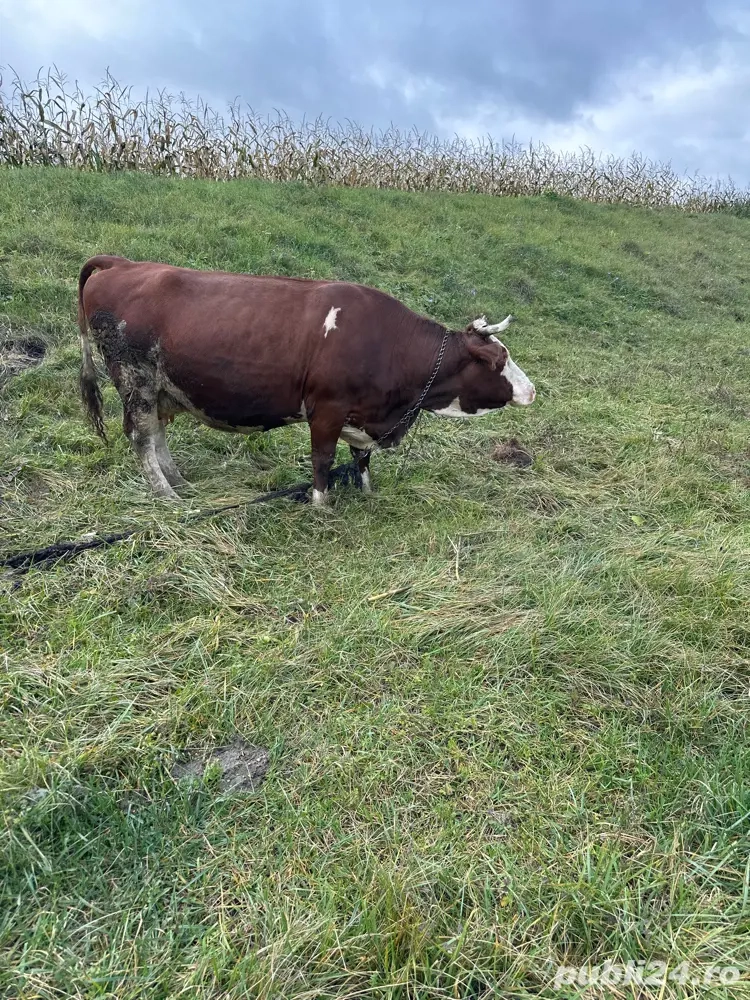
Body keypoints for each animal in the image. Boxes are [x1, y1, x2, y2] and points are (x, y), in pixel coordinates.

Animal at [77, 255, 536, 504]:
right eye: (498, 359)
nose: (531, 391)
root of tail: (124, 264)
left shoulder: (362, 415)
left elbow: (361, 458)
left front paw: (368, 493)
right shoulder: (328, 409)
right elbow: (323, 459)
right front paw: (321, 505)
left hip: (157, 387)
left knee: (155, 432)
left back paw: (177, 480)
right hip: (135, 379)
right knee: (141, 436)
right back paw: (166, 493)